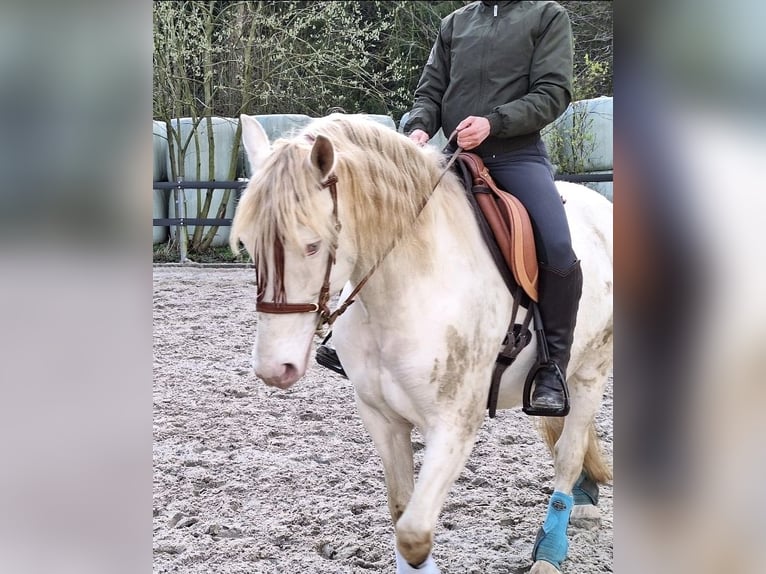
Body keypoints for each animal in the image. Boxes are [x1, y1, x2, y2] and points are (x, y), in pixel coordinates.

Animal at [230, 113, 613, 573]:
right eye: (250, 244)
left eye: (312, 245)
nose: (274, 368)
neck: (407, 286)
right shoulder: (382, 418)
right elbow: (401, 514)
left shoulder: (454, 425)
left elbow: (414, 535)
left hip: (591, 371)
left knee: (569, 454)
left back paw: (551, 549)